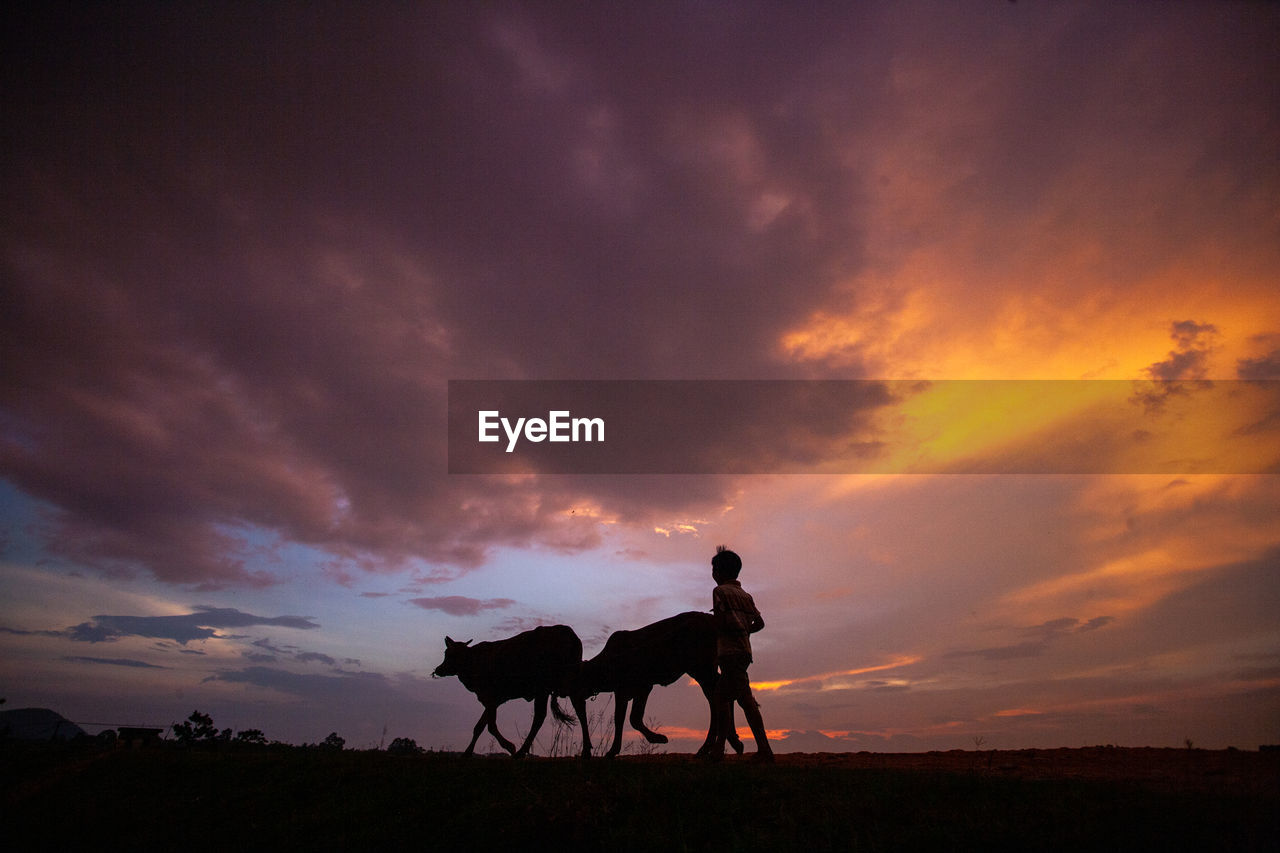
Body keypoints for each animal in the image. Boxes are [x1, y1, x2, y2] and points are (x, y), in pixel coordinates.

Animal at [430, 622, 588, 753]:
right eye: (446, 653)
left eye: (450, 654)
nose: (438, 669)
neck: (473, 661)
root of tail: (570, 635)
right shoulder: (495, 700)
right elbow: (480, 726)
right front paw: (467, 752)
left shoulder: (490, 696)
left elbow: (490, 726)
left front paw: (510, 746)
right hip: (571, 683)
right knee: (580, 709)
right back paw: (586, 751)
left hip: (543, 687)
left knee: (539, 717)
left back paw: (521, 752)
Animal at [578, 612, 747, 758]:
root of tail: (712, 620)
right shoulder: (632, 690)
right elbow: (628, 718)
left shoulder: (637, 687)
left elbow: (628, 718)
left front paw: (655, 739)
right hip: (703, 670)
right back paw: (731, 742)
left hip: (702, 668)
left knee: (717, 696)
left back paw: (711, 746)